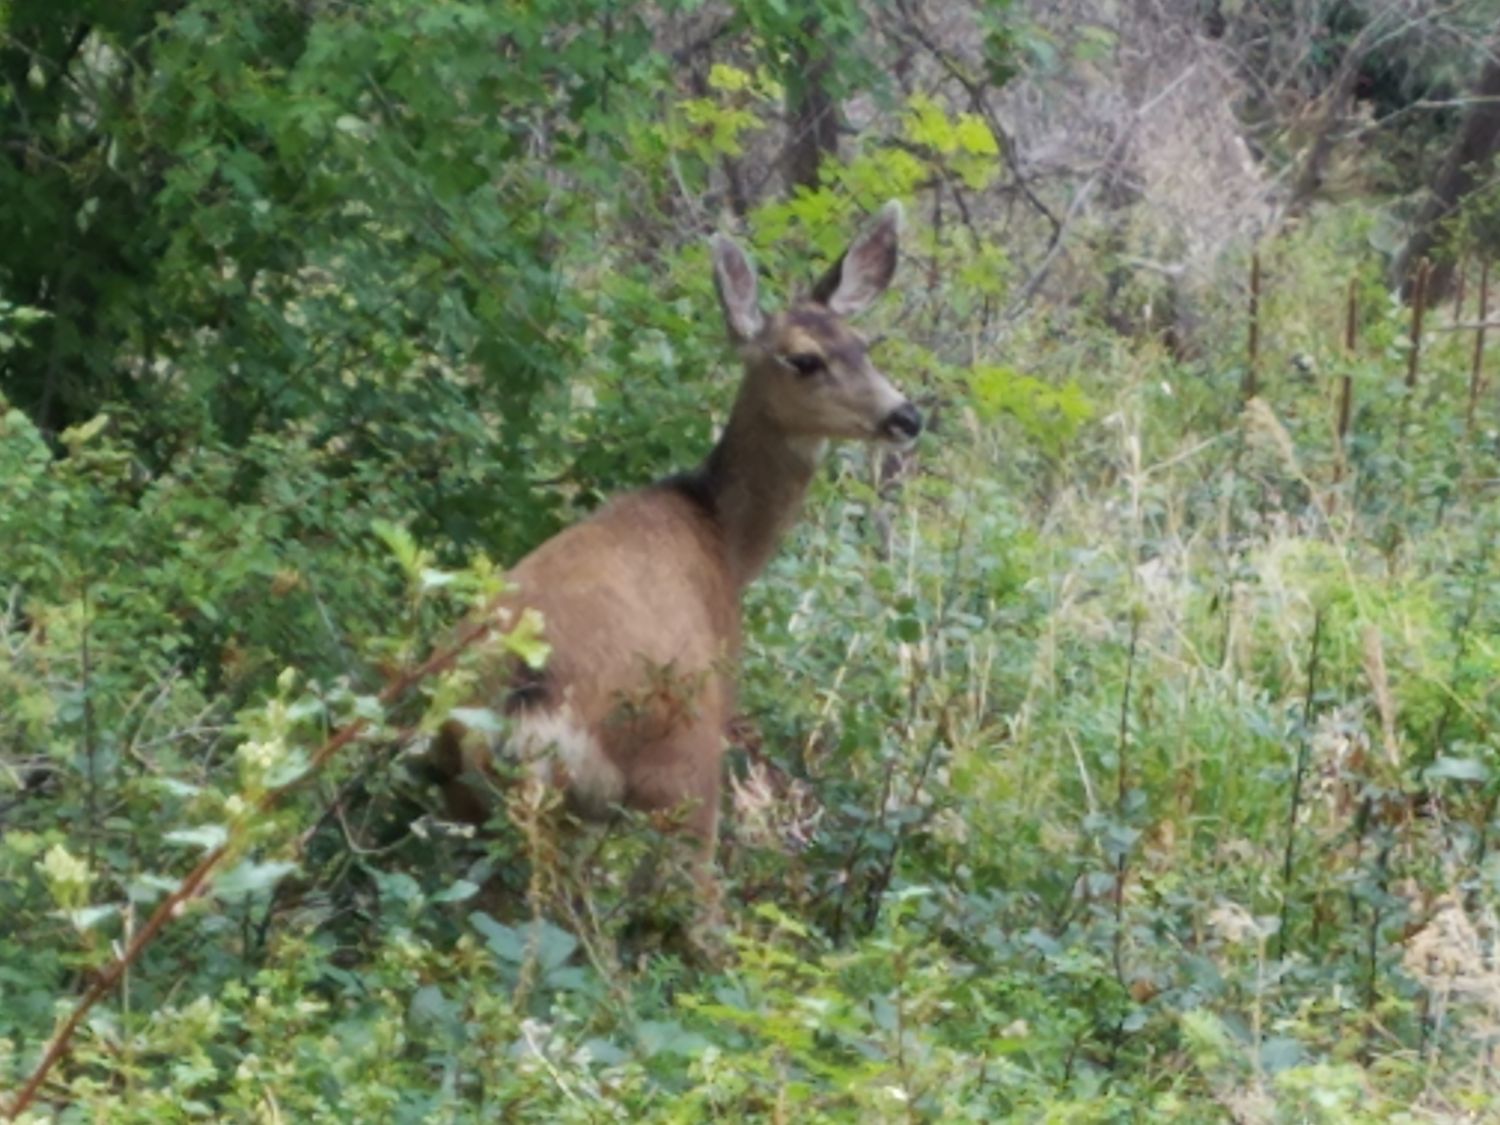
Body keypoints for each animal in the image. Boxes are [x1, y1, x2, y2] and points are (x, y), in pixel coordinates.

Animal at [429, 202, 918, 924]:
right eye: (803, 358)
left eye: (864, 344)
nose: (906, 416)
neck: (724, 537)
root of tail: (520, 692)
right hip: (676, 769)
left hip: (470, 792)